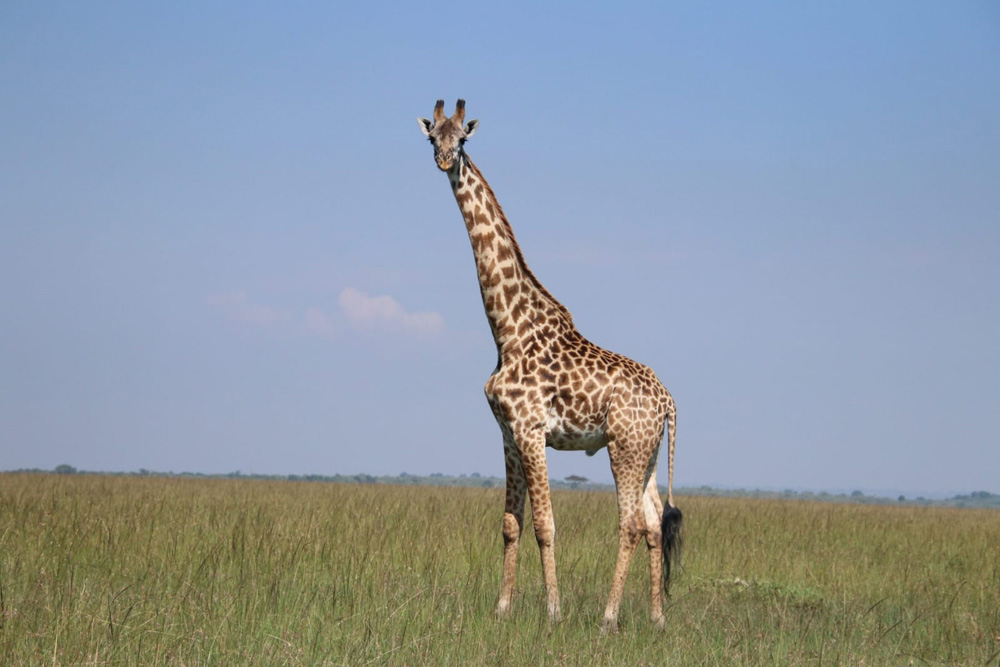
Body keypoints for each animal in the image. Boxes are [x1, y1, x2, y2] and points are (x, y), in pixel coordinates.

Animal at [418, 99, 682, 633]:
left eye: (464, 139)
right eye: (431, 134)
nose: (444, 159)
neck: (506, 329)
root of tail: (669, 400)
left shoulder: (531, 429)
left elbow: (545, 524)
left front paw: (553, 611)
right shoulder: (506, 434)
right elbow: (509, 523)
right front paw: (502, 608)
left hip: (623, 448)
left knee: (628, 523)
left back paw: (607, 619)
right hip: (646, 453)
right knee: (651, 522)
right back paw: (656, 619)